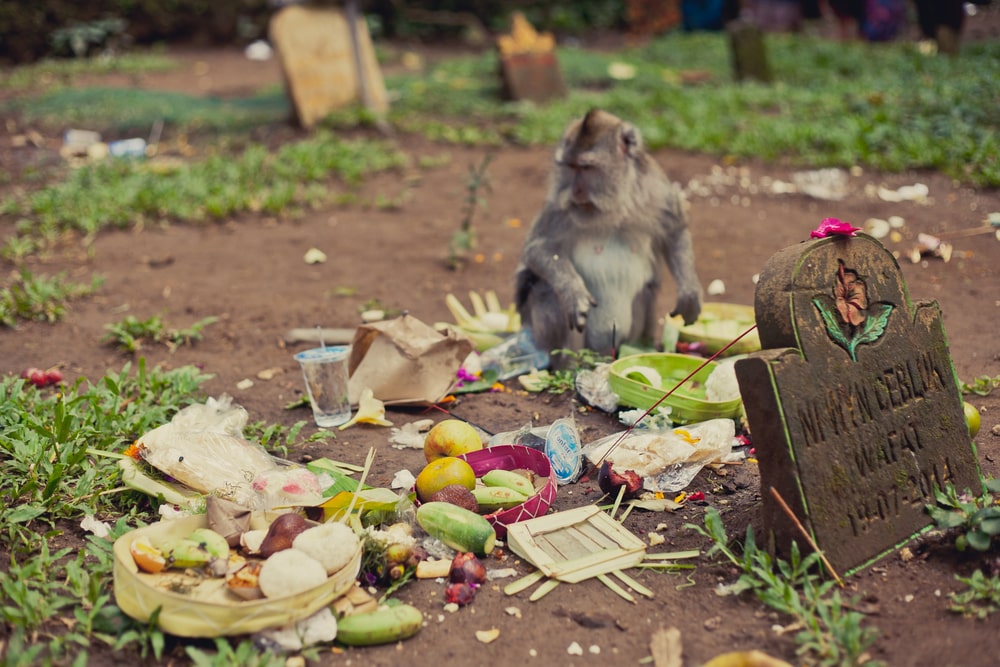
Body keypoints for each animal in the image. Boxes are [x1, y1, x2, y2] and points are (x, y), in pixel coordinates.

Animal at [516, 108, 704, 360]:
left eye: (586, 168)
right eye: (569, 167)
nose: (575, 191)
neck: (613, 205)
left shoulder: (656, 189)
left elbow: (676, 230)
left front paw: (689, 293)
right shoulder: (559, 206)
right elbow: (539, 247)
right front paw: (573, 292)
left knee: (644, 292)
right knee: (548, 291)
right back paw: (573, 364)